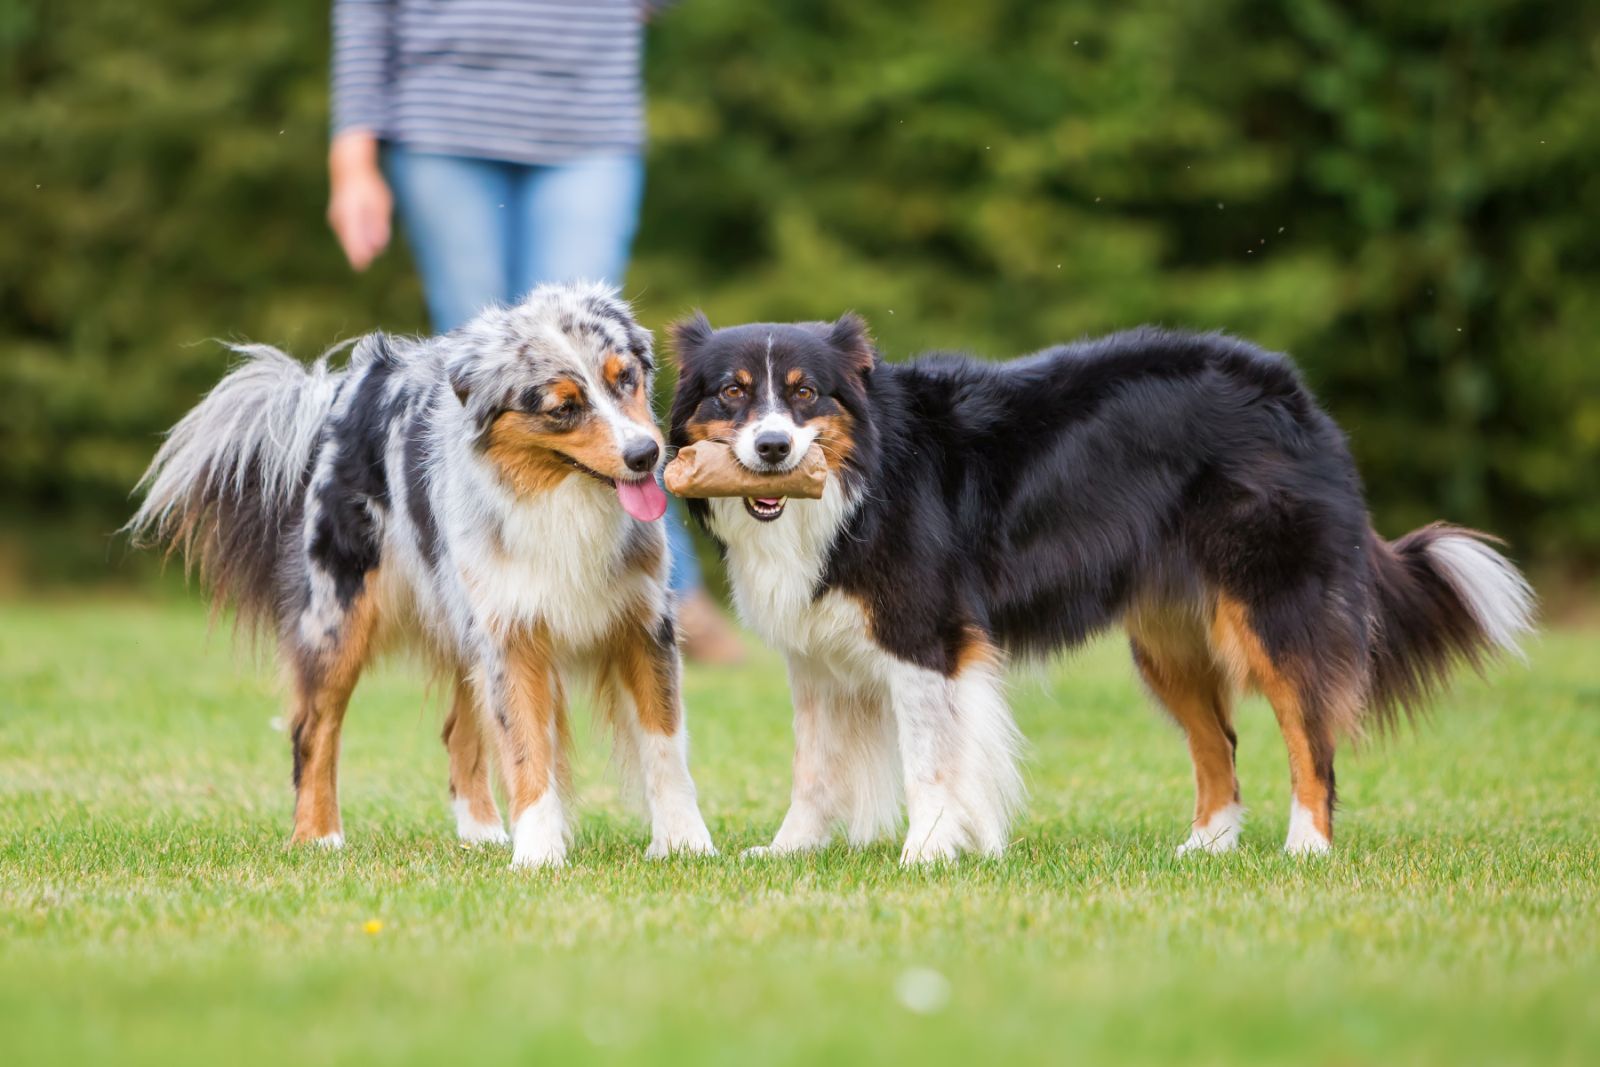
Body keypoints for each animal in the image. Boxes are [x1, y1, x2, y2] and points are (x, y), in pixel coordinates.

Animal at [668, 313, 1529, 863]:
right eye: (733, 393)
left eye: (805, 394)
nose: (773, 449)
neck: (860, 477)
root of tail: (1294, 392)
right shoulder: (815, 656)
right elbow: (814, 770)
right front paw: (786, 851)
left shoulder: (926, 640)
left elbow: (932, 760)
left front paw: (929, 850)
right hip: (1168, 641)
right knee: (1219, 744)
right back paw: (1204, 849)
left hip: (1273, 611)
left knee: (1308, 735)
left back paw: (1306, 847)